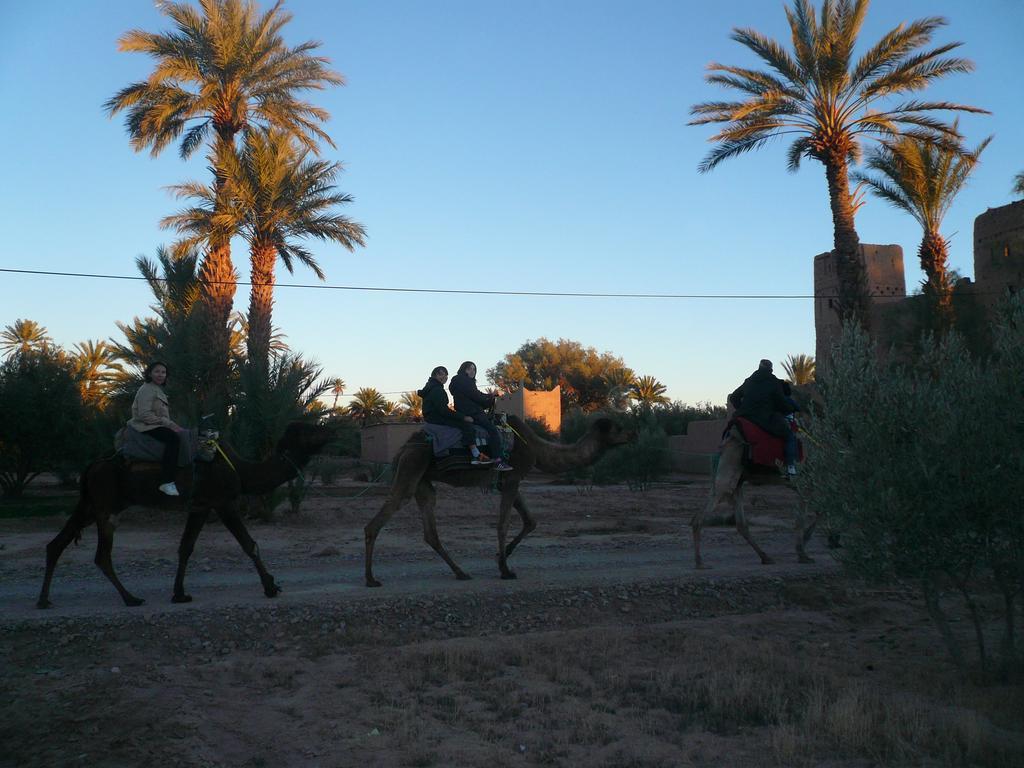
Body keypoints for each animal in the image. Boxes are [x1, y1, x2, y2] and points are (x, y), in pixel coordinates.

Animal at [35, 417, 331, 610]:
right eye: (309, 431)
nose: (331, 430)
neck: (240, 469)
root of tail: (92, 465)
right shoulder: (222, 502)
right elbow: (250, 544)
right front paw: (271, 587)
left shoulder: (200, 506)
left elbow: (185, 548)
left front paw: (179, 594)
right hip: (106, 506)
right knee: (101, 555)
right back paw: (131, 598)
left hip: (91, 504)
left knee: (56, 544)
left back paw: (44, 599)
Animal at [360, 415, 630, 589]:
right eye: (618, 428)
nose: (634, 432)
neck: (536, 448)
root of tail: (402, 449)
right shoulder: (512, 478)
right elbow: (503, 524)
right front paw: (506, 570)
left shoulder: (508, 480)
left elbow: (531, 521)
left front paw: (502, 557)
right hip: (412, 466)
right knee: (379, 520)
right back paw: (371, 579)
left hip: (423, 481)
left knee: (430, 530)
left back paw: (461, 573)